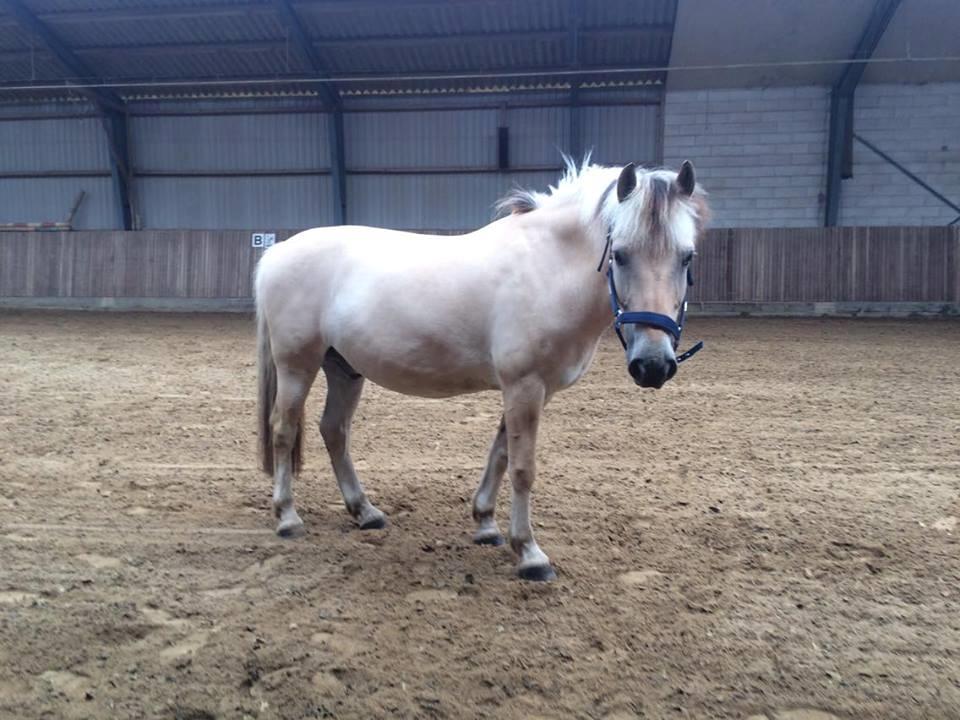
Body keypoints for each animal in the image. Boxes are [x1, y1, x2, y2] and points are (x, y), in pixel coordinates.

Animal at [251, 158, 708, 580]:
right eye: (620, 254)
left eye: (687, 257)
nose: (653, 365)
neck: (548, 267)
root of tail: (277, 252)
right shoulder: (524, 385)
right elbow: (522, 468)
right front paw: (530, 553)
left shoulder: (531, 389)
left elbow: (501, 454)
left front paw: (487, 525)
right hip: (297, 365)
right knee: (283, 430)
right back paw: (288, 518)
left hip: (344, 369)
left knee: (334, 430)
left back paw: (365, 512)